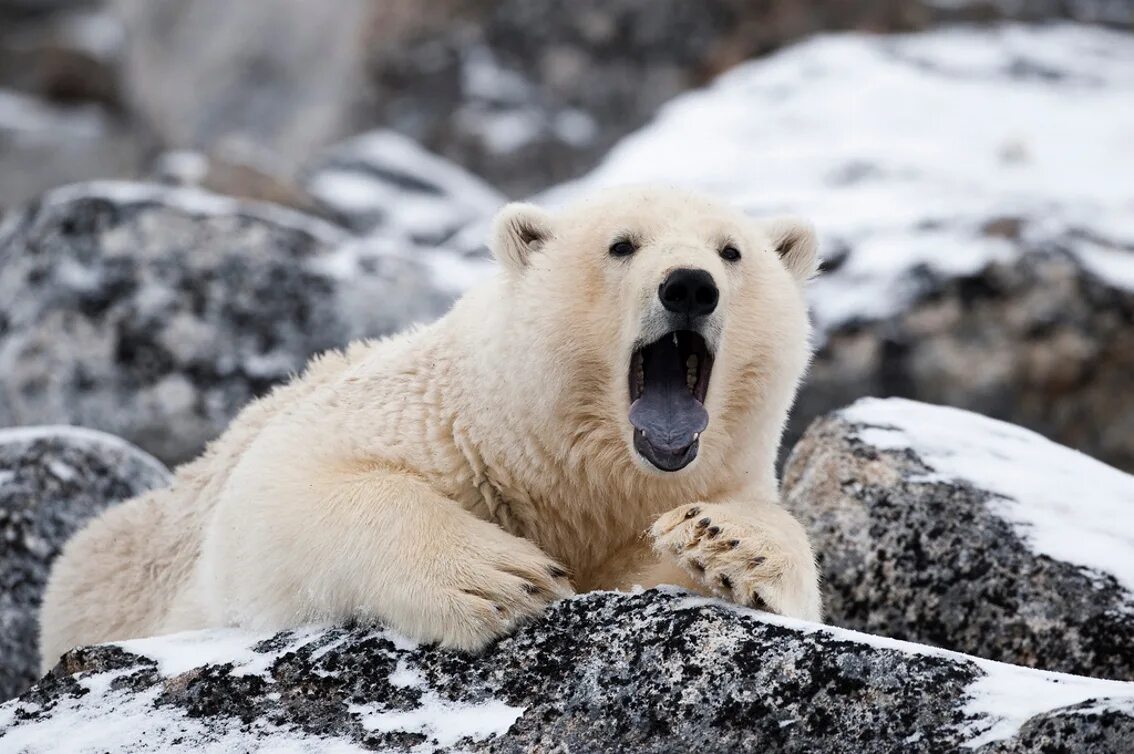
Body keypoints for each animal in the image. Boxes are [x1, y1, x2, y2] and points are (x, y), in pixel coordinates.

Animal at [39, 184, 825, 666]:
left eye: (732, 251)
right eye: (622, 244)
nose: (689, 285)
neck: (573, 475)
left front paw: (725, 541)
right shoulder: (435, 422)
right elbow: (277, 495)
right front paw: (499, 576)